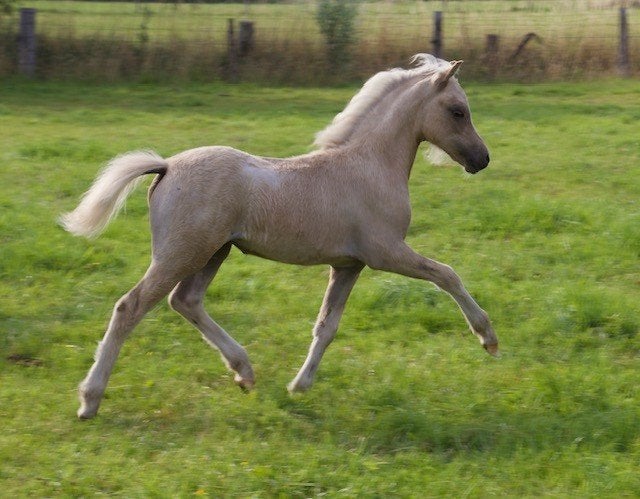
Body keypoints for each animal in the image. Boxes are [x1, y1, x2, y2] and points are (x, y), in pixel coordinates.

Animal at [61, 54, 498, 420]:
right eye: (458, 111)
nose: (482, 159)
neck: (369, 164)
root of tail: (166, 166)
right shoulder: (385, 252)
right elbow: (447, 274)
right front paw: (488, 338)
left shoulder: (348, 265)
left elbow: (326, 327)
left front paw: (299, 386)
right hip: (182, 254)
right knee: (130, 307)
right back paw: (89, 400)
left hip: (214, 252)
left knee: (185, 301)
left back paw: (244, 372)